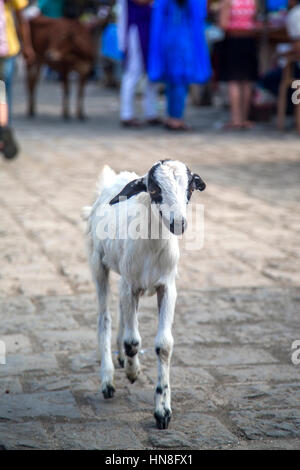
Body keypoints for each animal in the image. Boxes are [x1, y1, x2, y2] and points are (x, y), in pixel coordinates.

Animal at [84, 159, 206, 430]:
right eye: (153, 189)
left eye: (190, 188)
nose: (178, 223)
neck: (153, 246)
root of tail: (117, 177)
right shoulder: (130, 285)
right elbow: (133, 342)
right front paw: (132, 373)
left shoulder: (167, 288)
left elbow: (164, 345)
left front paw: (163, 410)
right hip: (98, 264)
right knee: (104, 318)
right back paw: (108, 379)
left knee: (120, 312)